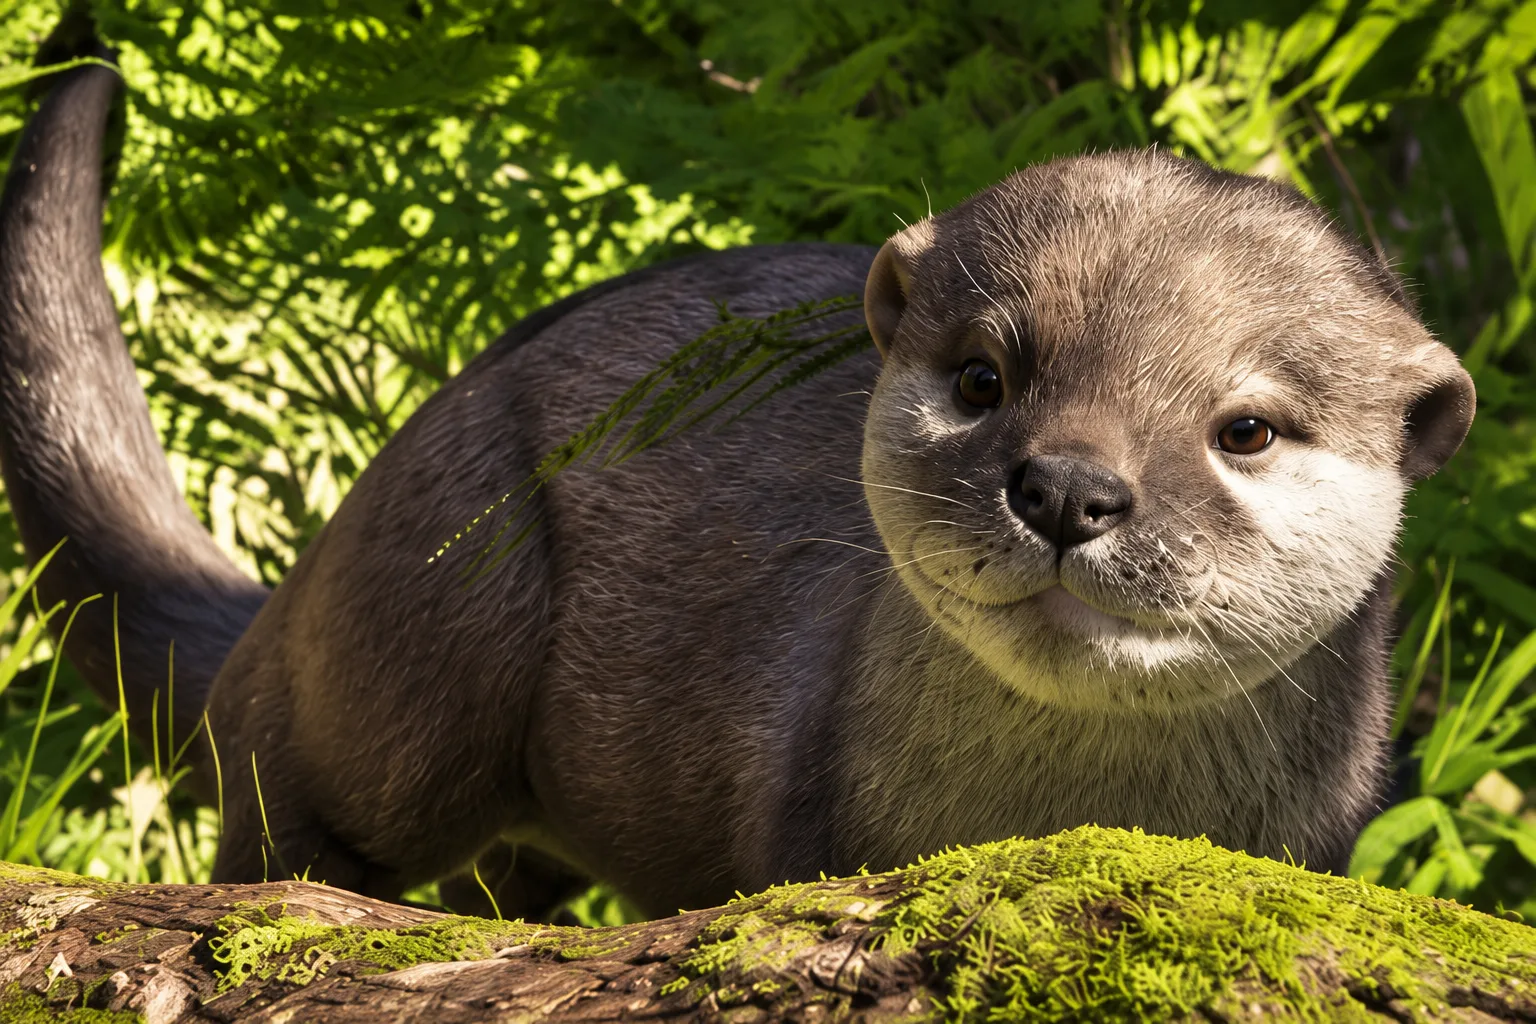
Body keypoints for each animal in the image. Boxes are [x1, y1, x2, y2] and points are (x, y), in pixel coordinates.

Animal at [0, 58, 1473, 918]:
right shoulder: (807, 818)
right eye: (985, 376)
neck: (1062, 815)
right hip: (426, 618)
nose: (1067, 487)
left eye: (1247, 428)